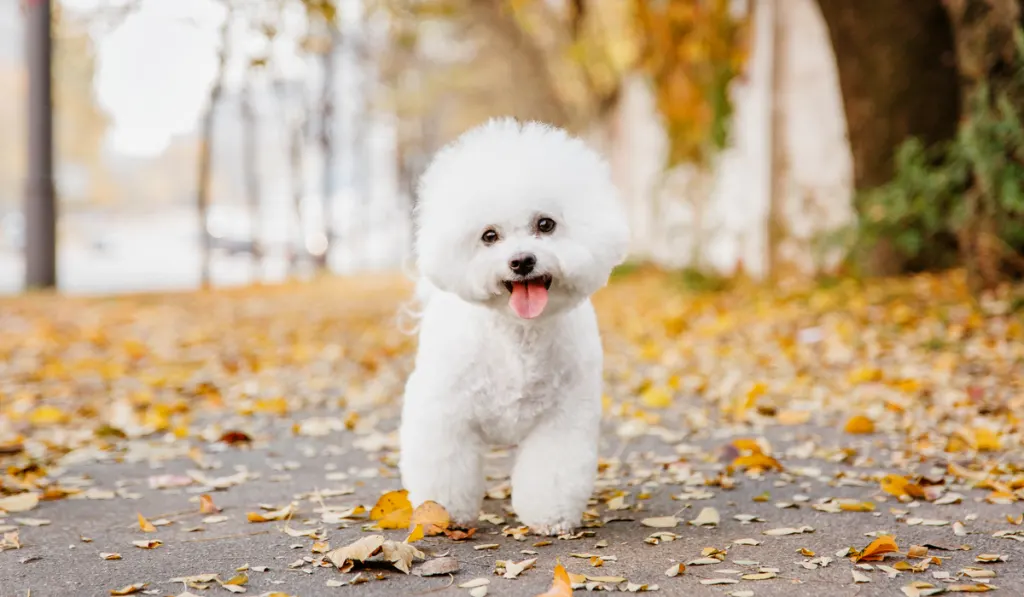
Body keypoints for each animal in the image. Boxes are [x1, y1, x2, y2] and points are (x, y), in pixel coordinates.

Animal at [395, 117, 626, 536]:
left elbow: (553, 472)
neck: (519, 335)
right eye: (489, 236)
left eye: (545, 224)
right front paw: (443, 513)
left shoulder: (563, 418)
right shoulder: (444, 412)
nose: (521, 261)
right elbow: (444, 466)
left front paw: (549, 517)